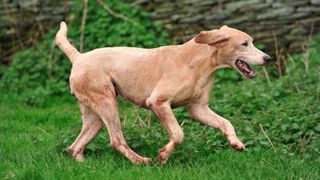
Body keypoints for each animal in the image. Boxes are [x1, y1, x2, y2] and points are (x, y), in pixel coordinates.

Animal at [55, 21, 272, 165]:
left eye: (251, 42)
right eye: (245, 43)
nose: (268, 58)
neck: (198, 63)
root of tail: (79, 57)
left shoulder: (198, 109)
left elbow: (226, 123)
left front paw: (236, 143)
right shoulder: (157, 103)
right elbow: (178, 134)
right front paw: (163, 156)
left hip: (96, 117)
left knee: (74, 147)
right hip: (108, 106)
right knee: (117, 141)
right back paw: (141, 161)